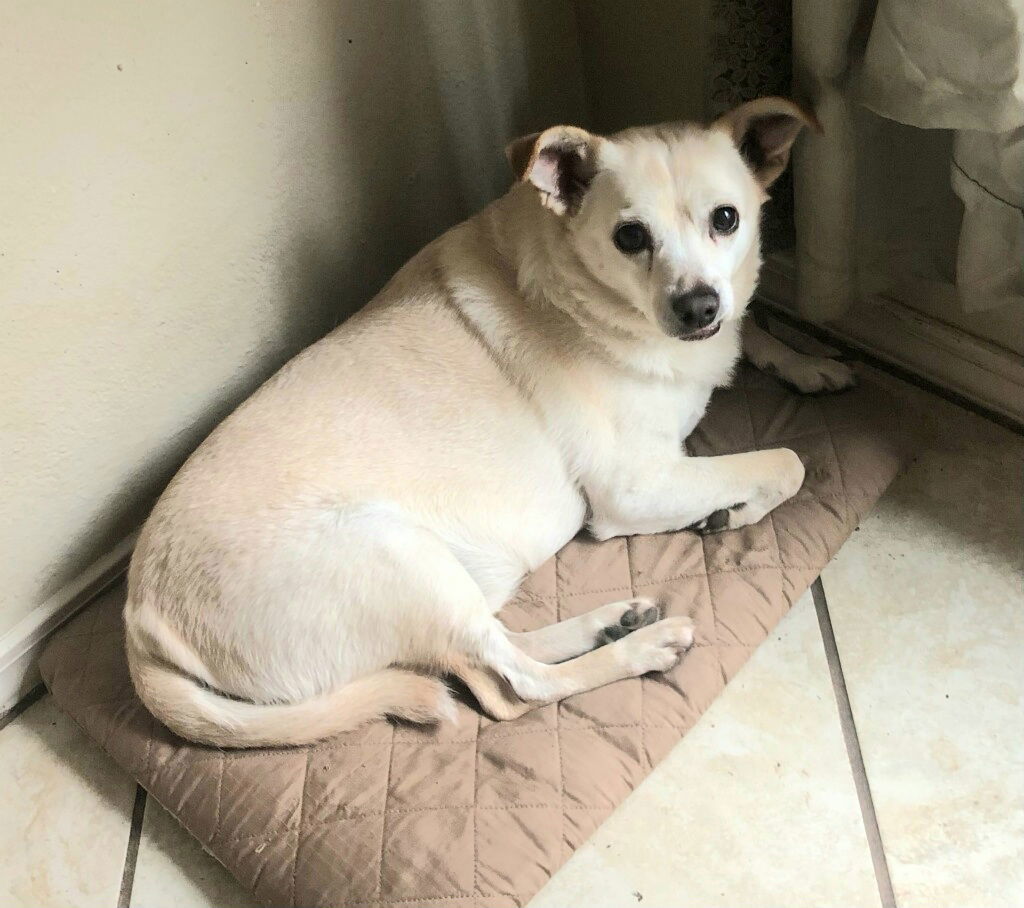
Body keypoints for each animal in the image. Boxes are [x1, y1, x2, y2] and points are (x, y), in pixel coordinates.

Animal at [121, 95, 856, 749]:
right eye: (630, 238)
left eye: (726, 219)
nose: (697, 306)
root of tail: (139, 627)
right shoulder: (634, 488)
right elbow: (786, 461)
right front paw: (738, 508)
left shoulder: (717, 336)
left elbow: (753, 330)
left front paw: (811, 362)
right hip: (401, 558)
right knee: (512, 687)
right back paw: (641, 647)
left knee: (501, 649)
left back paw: (610, 621)